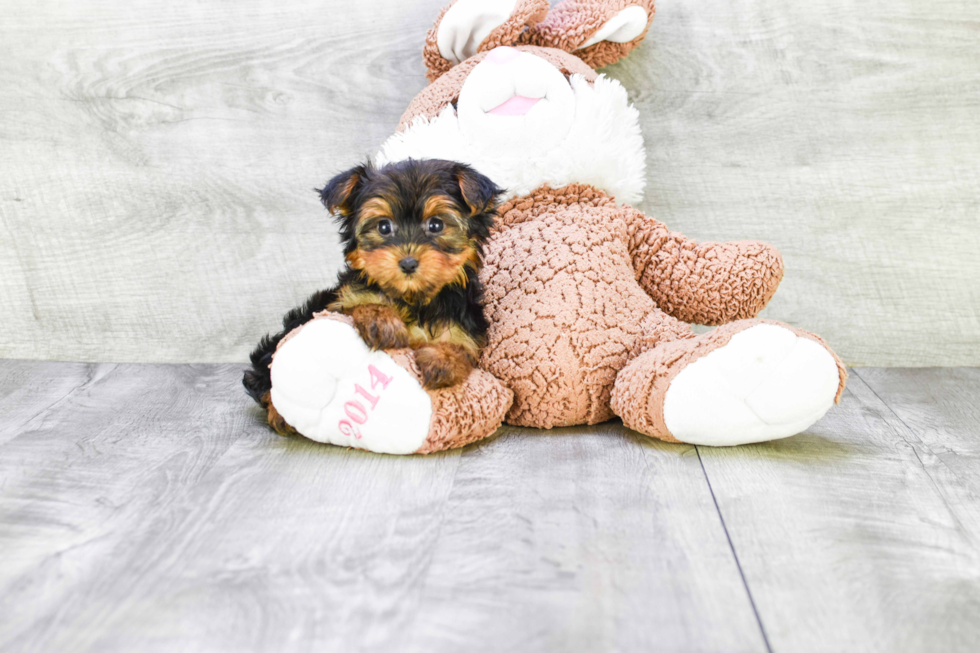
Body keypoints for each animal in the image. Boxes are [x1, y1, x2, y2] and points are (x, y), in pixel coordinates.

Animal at [242, 158, 502, 432]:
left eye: (436, 225)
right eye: (384, 226)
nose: (408, 262)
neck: (413, 299)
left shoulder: (466, 323)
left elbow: (461, 345)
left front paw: (443, 360)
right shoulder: (341, 300)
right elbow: (362, 304)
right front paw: (382, 321)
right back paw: (280, 413)